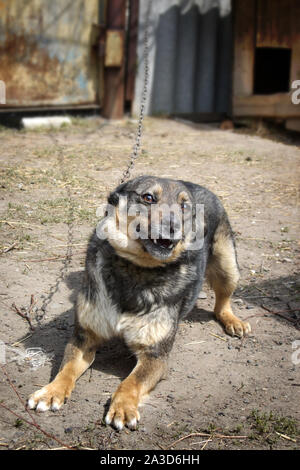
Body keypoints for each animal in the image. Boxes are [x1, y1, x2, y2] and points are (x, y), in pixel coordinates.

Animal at [27, 175, 251, 430]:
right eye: (148, 198)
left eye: (184, 206)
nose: (174, 227)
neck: (138, 268)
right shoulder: (84, 339)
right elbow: (65, 369)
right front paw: (51, 391)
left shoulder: (155, 355)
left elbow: (131, 382)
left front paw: (123, 407)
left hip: (228, 266)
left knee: (222, 300)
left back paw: (233, 321)